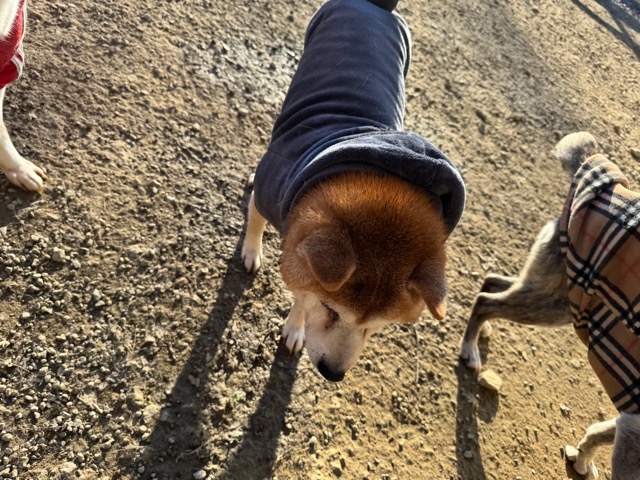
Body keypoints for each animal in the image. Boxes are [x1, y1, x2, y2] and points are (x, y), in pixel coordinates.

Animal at [241, 0, 466, 382]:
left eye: (377, 325)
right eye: (331, 310)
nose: (333, 374)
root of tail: (376, 6)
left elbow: (301, 294)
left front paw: (295, 325)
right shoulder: (272, 192)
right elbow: (257, 225)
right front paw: (252, 252)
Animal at [460, 132, 640, 479]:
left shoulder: (632, 414)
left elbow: (600, 430)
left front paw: (582, 460)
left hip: (555, 294)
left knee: (491, 282)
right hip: (556, 301)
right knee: (485, 300)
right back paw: (470, 348)